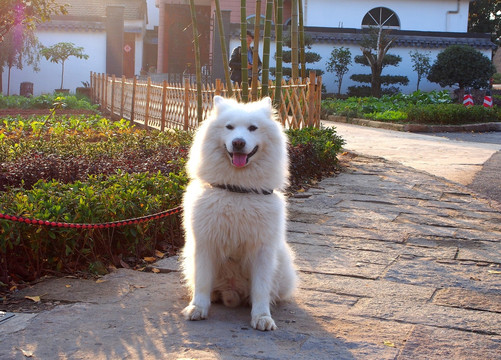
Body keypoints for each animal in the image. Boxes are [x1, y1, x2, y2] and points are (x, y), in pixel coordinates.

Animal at [181, 95, 294, 332]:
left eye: (253, 128)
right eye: (229, 127)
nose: (238, 143)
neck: (237, 190)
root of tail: (231, 292)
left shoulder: (262, 249)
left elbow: (261, 288)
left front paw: (262, 317)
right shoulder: (205, 244)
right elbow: (202, 282)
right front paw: (198, 308)